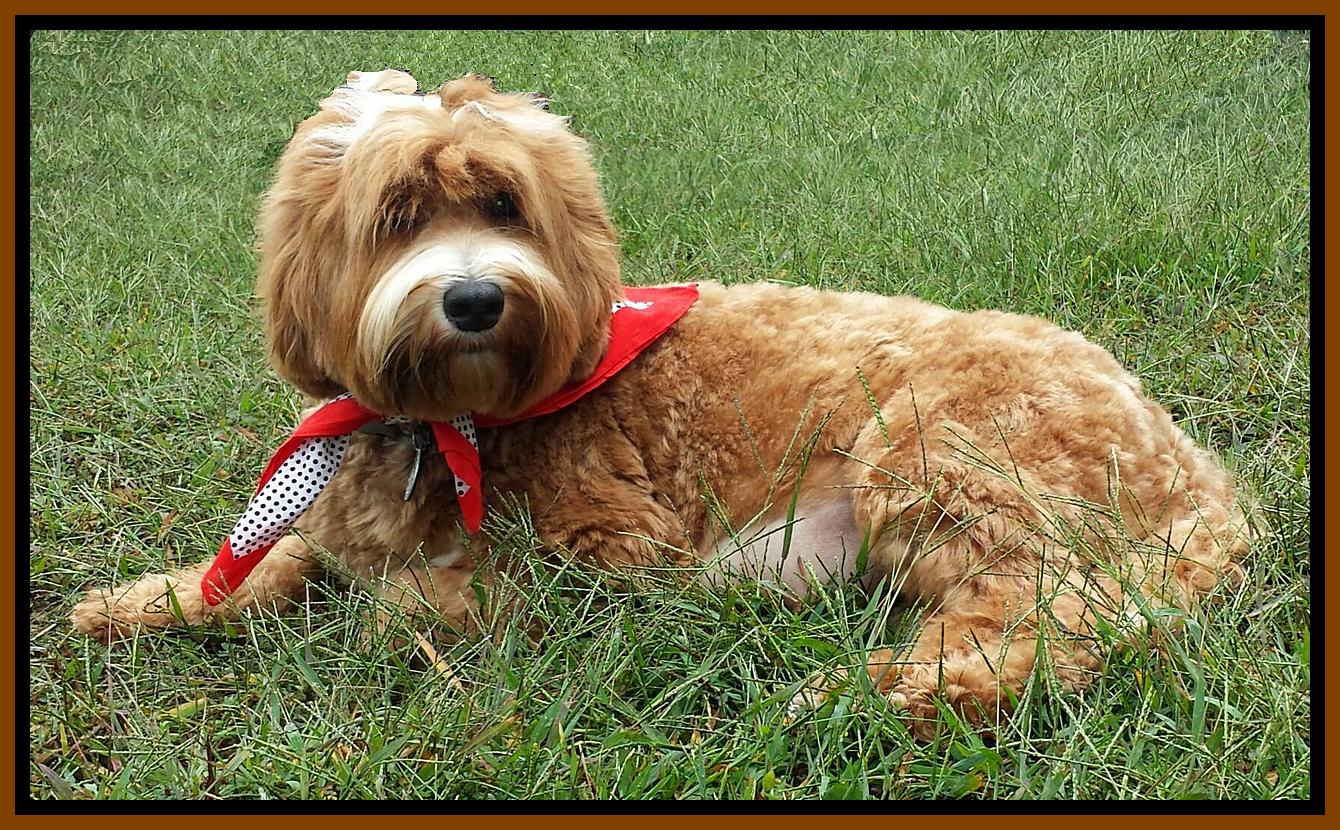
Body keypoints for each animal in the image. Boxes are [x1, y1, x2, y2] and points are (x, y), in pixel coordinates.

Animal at [71, 70, 1250, 739]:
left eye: (504, 205)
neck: (448, 420)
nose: (473, 298)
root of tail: (1196, 471)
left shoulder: (615, 557)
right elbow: (276, 556)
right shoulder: (336, 509)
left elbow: (431, 597)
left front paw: (400, 606)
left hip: (935, 453)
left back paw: (897, 694)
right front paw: (151, 598)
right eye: (397, 214)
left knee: (1052, 618)